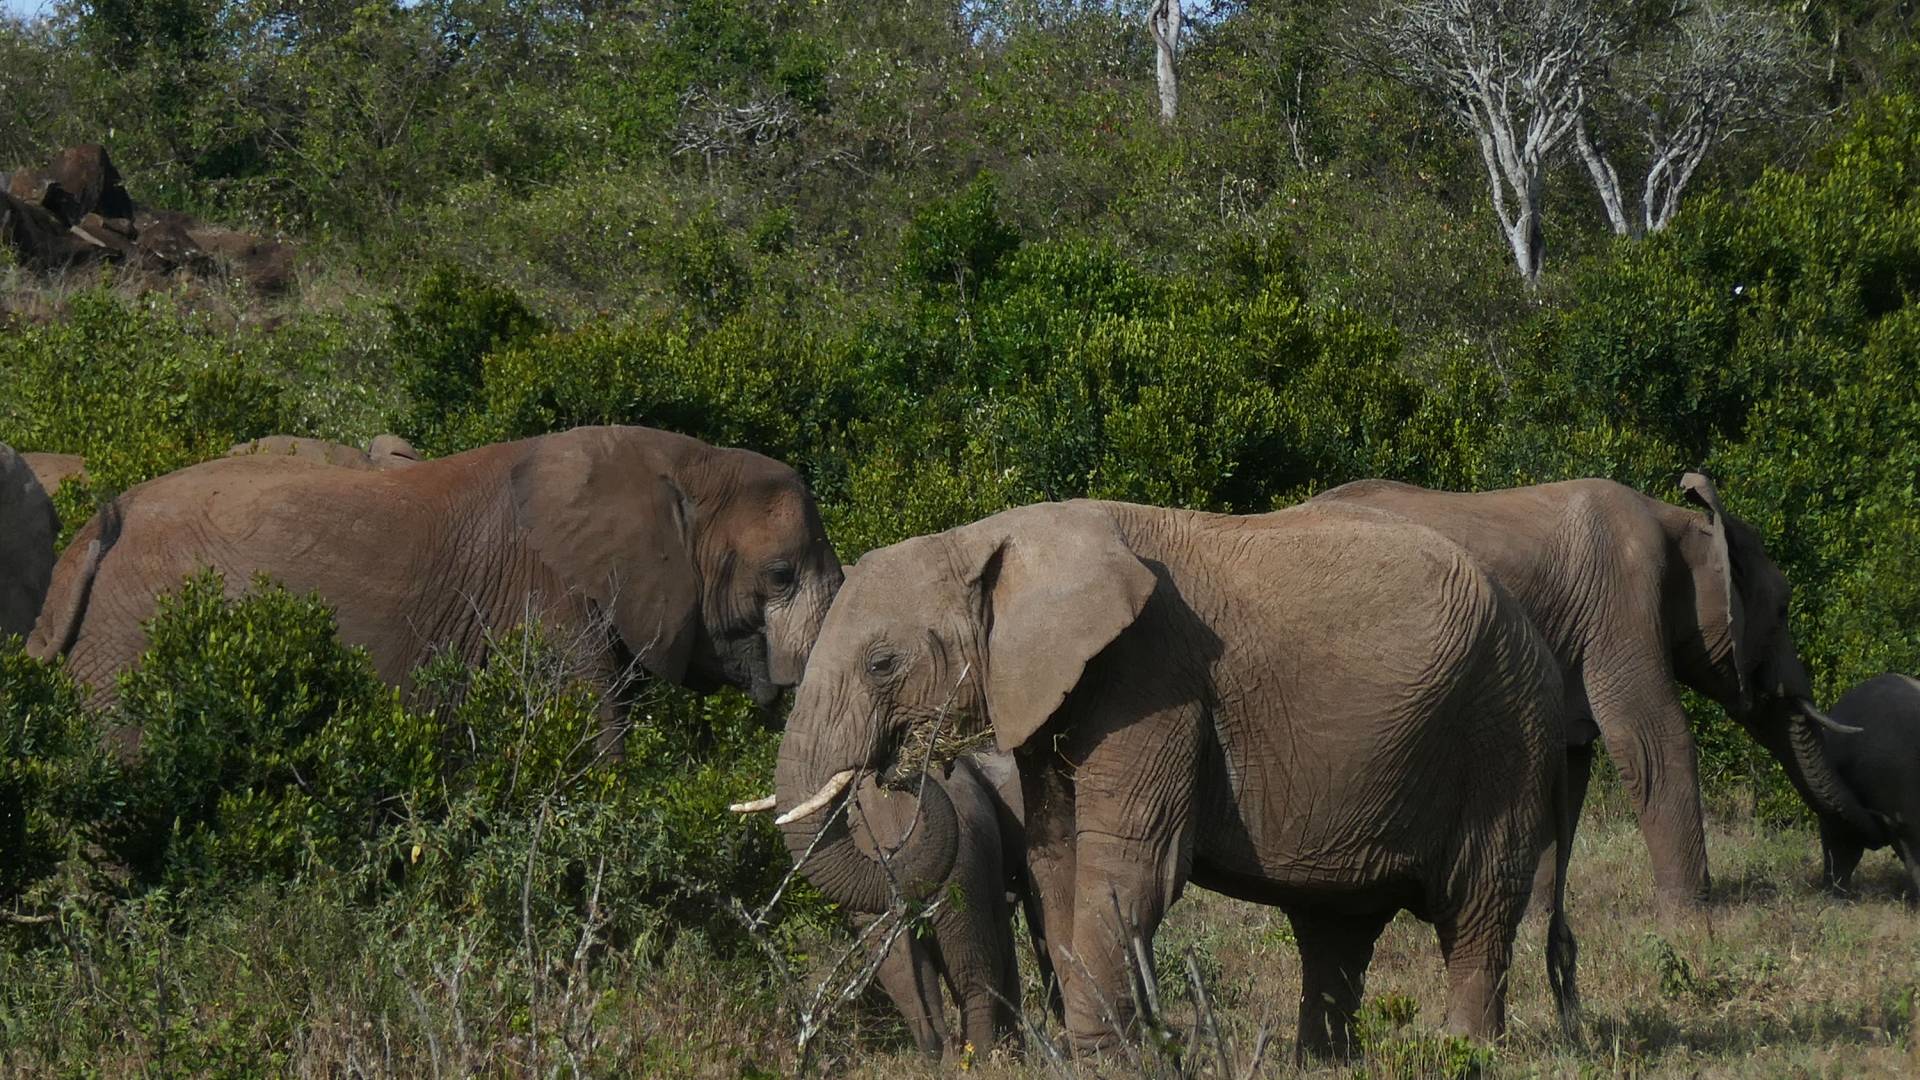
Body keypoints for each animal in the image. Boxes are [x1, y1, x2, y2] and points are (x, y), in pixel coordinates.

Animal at [29, 425, 843, 745]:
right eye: (779, 574)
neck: (681, 461)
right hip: (130, 647)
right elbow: (584, 751)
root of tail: (103, 525)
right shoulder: (543, 604)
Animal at [770, 499, 1579, 1056]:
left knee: (1476, 905)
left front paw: (1100, 1057)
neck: (992, 537)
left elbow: (1126, 867)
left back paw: (1464, 1051)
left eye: (882, 663)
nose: (902, 773)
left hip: (1503, 731)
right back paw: (1321, 1061)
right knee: (1334, 928)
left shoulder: (1152, 677)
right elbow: (1057, 862)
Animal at [1311, 473, 1874, 911]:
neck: (1683, 521)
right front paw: (1692, 920)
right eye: (1782, 609)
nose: (1837, 885)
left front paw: (1533, 916)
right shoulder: (1622, 601)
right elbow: (1652, 739)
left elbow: (1565, 759)